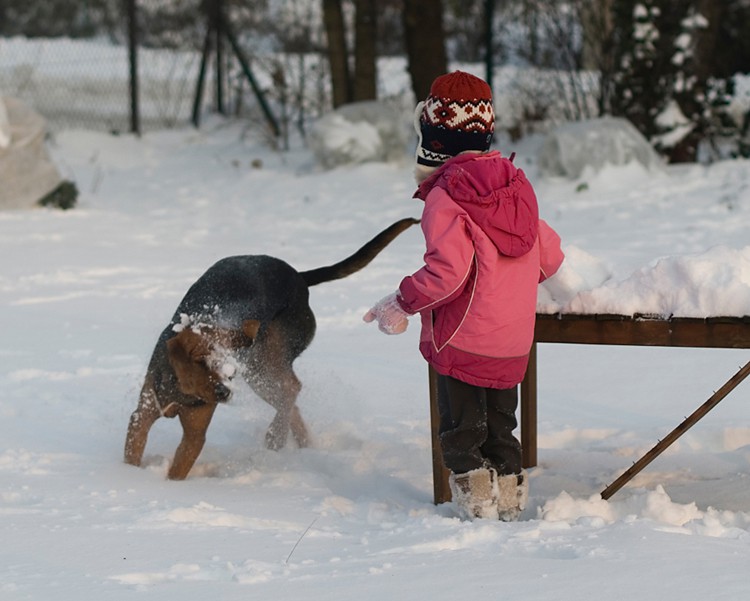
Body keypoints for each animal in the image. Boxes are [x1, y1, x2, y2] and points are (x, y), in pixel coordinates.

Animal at [123, 218, 418, 480]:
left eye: (230, 369)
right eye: (202, 361)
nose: (225, 393)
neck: (182, 390)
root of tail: (299, 277)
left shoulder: (195, 432)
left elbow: (177, 471)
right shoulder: (141, 416)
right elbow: (132, 455)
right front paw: (130, 479)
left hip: (266, 361)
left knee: (291, 389)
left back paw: (276, 436)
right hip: (259, 372)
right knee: (290, 397)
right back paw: (301, 444)